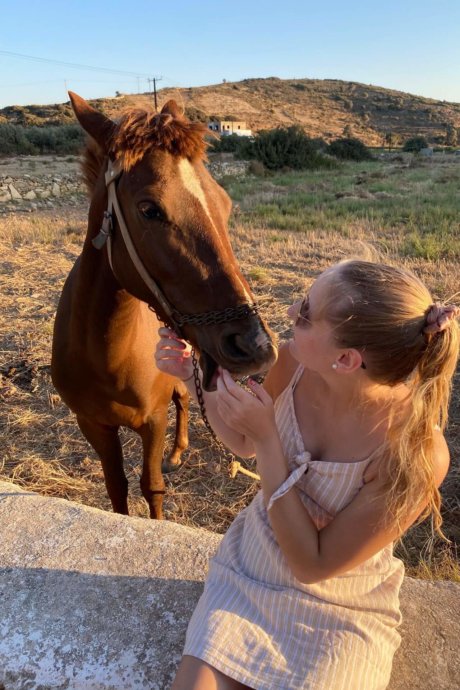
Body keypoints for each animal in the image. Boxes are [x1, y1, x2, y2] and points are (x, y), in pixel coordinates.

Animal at [51, 92, 277, 519]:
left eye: (225, 204)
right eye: (149, 209)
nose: (255, 345)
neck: (106, 355)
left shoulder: (152, 420)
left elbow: (151, 486)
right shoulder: (93, 424)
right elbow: (117, 487)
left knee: (184, 398)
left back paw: (177, 451)